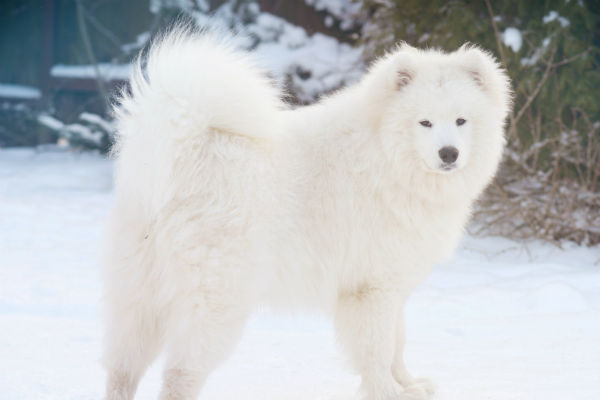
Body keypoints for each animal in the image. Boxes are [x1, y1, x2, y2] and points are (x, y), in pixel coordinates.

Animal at [102, 28, 510, 400]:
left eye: (461, 121)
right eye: (424, 122)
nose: (449, 153)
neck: (386, 157)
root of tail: (185, 148)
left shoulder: (393, 286)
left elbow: (397, 344)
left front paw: (410, 385)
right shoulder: (372, 289)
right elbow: (379, 351)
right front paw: (390, 392)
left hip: (141, 298)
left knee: (122, 370)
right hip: (216, 302)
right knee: (179, 375)